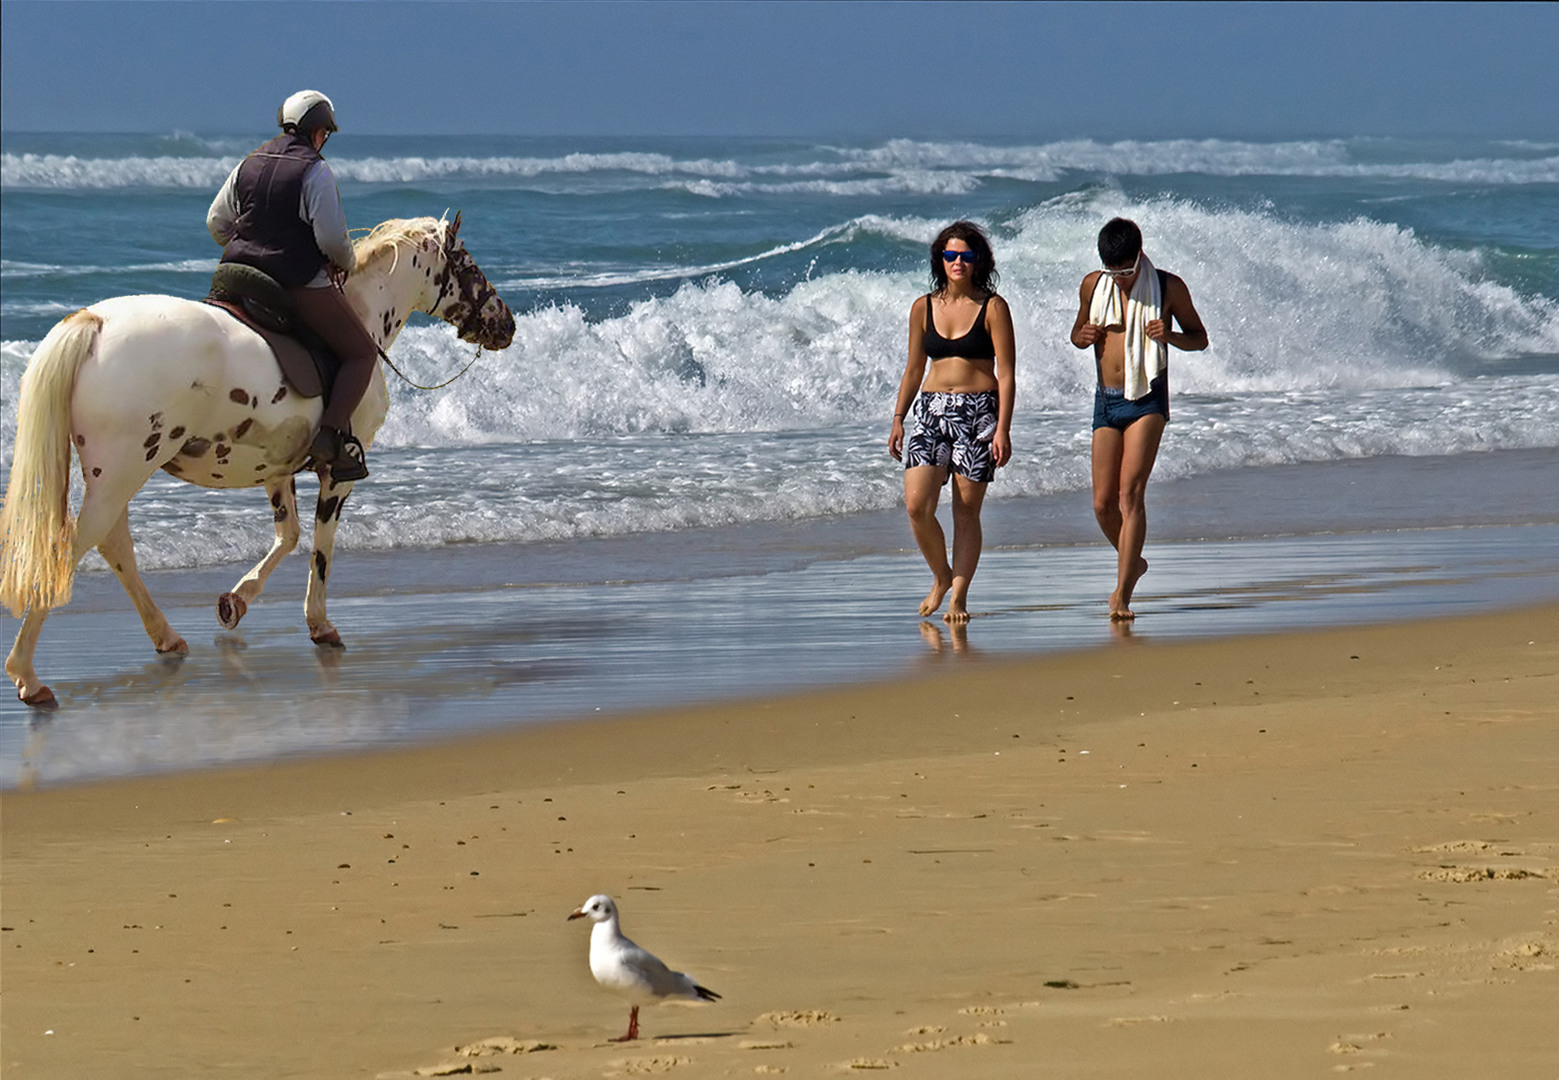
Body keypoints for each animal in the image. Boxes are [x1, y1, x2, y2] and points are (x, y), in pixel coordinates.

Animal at [0, 213, 517, 704]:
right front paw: (318, 623)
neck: (362, 312)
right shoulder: (338, 475)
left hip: (117, 477)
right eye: (469, 266)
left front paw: (236, 601)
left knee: (114, 545)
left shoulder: (277, 466)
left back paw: (164, 636)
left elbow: (288, 536)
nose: (506, 325)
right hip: (122, 473)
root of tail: (95, 322)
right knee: (73, 548)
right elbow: (321, 547)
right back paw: (27, 676)